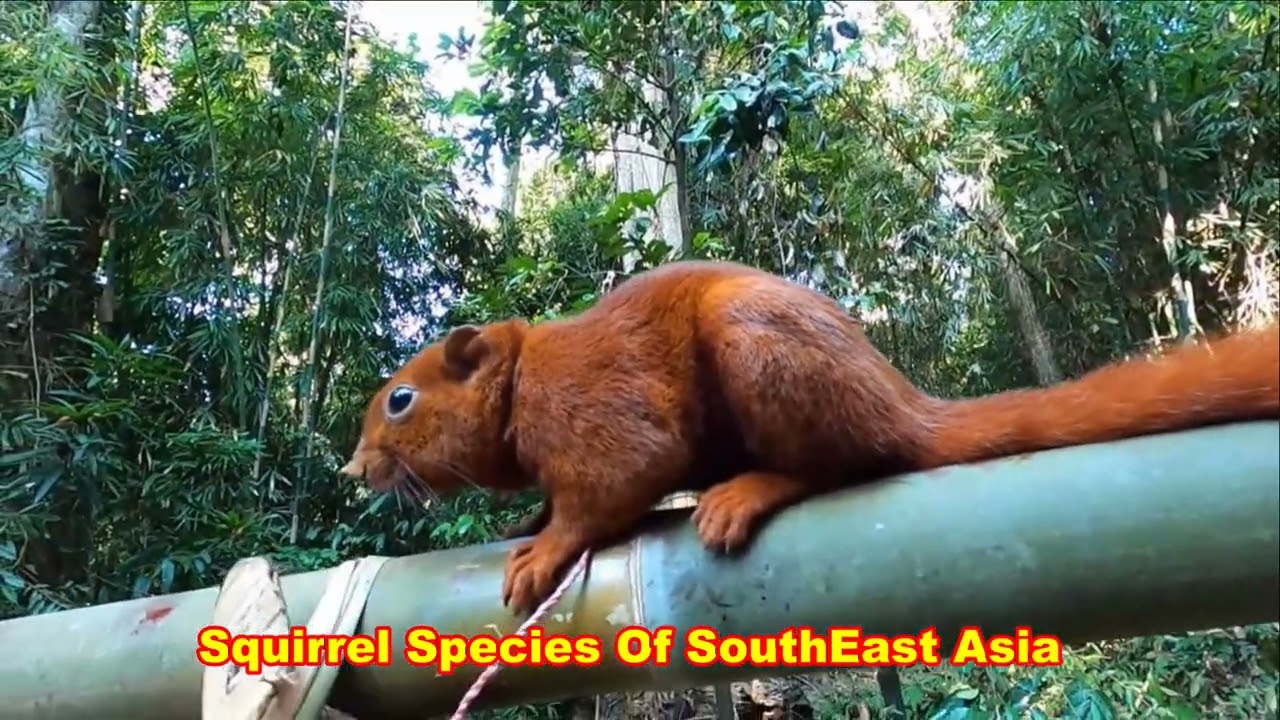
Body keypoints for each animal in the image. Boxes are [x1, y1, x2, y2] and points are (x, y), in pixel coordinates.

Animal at [340, 260, 1280, 615]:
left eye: (400, 401)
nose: (352, 468)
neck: (523, 381)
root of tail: (902, 402)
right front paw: (525, 524)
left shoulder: (596, 414)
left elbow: (613, 485)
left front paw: (543, 551)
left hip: (754, 343)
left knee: (845, 462)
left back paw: (752, 490)